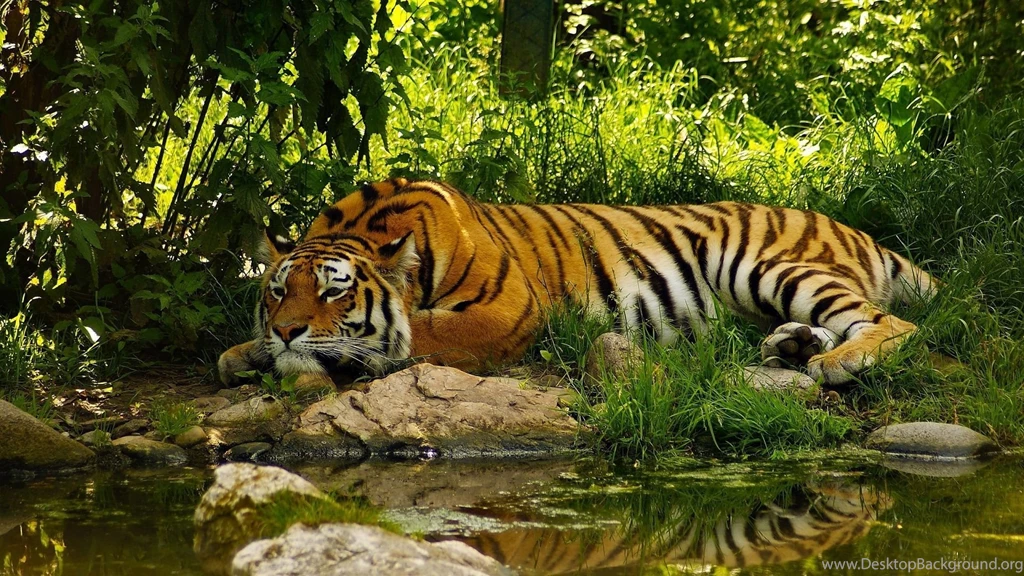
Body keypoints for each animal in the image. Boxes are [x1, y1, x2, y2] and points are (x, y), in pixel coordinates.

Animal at [217, 177, 936, 387]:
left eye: (335, 290)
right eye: (278, 290)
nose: (287, 331)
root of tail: (852, 228)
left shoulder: (507, 310)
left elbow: (416, 334)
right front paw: (245, 353)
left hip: (765, 264)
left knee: (892, 322)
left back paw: (836, 362)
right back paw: (793, 346)